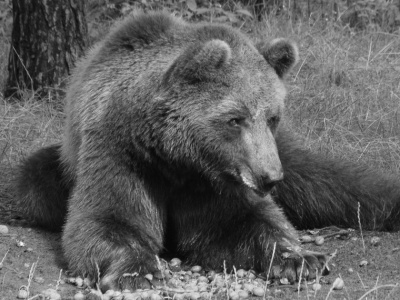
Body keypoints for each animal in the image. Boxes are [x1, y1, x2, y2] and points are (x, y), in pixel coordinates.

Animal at [15, 11, 400, 290]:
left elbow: (241, 222)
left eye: (273, 116)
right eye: (235, 119)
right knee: (32, 183)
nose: (270, 177)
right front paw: (138, 271)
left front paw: (298, 258)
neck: (175, 158)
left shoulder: (217, 181)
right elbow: (109, 219)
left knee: (337, 183)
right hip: (58, 169)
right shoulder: (122, 153)